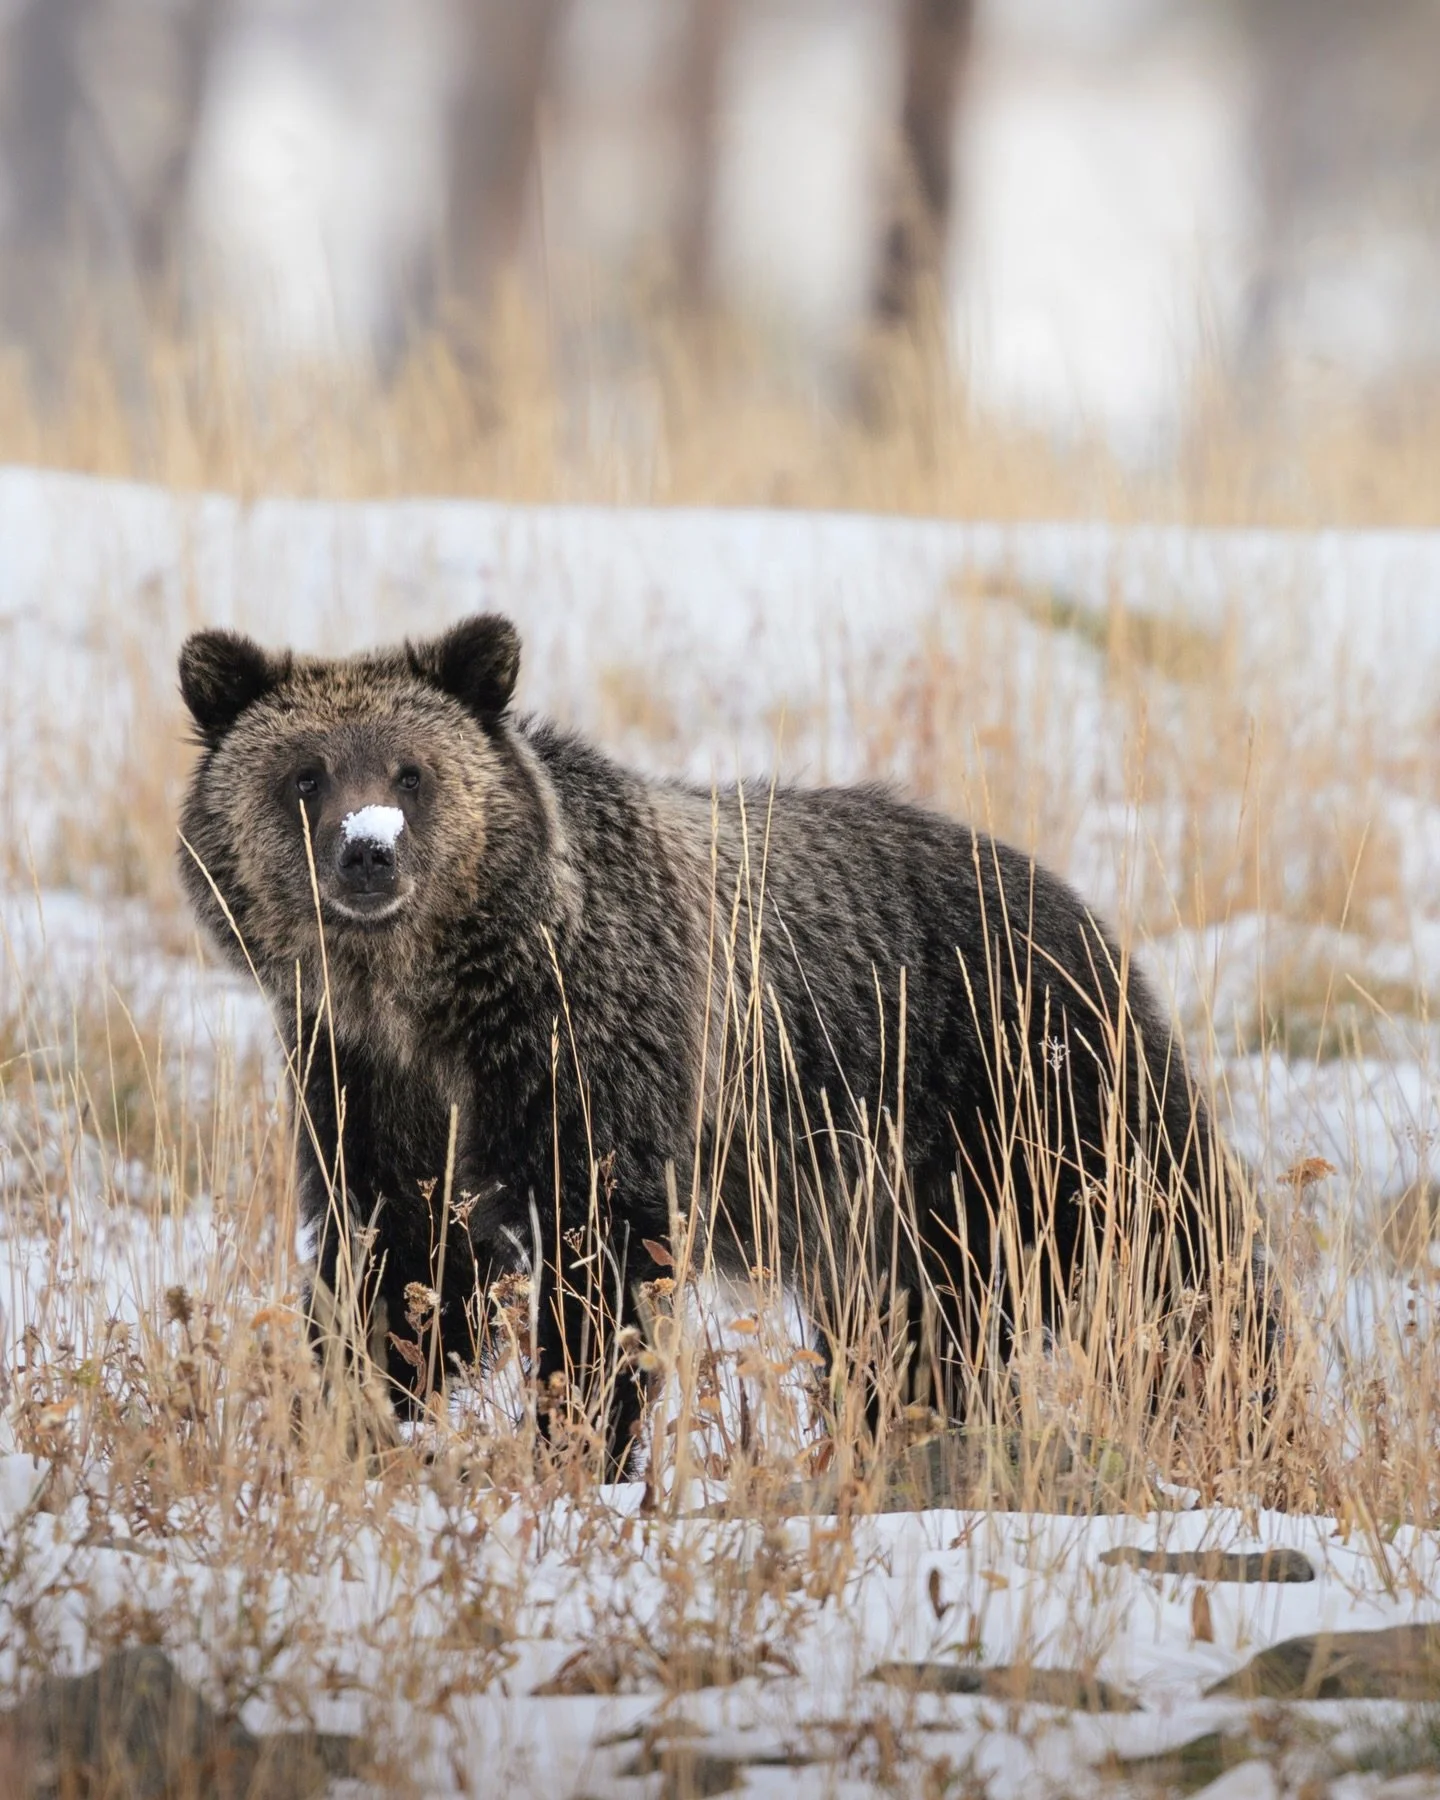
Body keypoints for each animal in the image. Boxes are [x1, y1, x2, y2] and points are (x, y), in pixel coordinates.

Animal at [177, 612, 1258, 1471]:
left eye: (413, 769)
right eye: (304, 773)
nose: (369, 850)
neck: (432, 1000)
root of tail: (1073, 899)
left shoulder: (599, 1073)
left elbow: (599, 1281)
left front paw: (575, 1448)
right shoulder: (368, 1092)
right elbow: (398, 1270)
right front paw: (339, 1412)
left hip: (1035, 1097)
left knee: (1173, 1262)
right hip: (900, 1214)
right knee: (912, 1342)